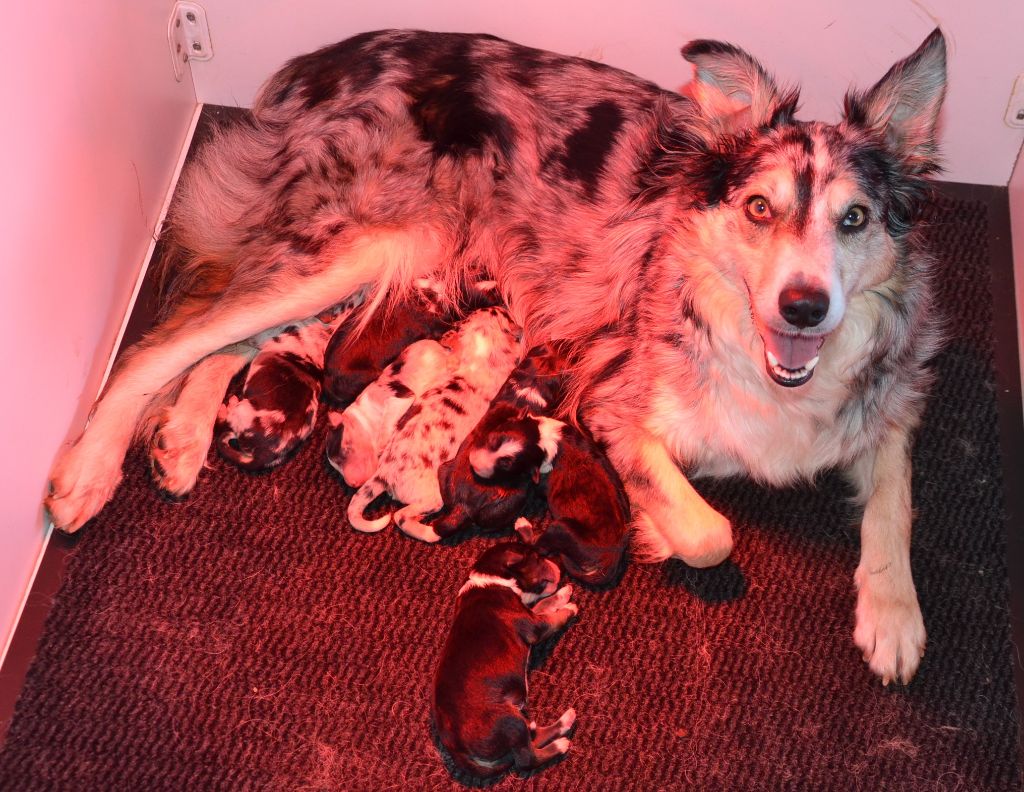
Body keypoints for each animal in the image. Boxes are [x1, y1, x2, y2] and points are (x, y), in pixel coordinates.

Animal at [325, 338, 454, 487]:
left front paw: (382, 443)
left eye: (343, 453)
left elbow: (388, 417)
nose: (353, 484)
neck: (365, 419)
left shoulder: (400, 397)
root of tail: (440, 346)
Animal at [348, 305, 524, 540]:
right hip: (432, 497)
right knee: (400, 517)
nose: (500, 305)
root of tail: (383, 474)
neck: (480, 353)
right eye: (504, 314)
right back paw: (429, 532)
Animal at [430, 342, 569, 540]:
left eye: (541, 349)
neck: (531, 384)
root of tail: (461, 507)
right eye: (562, 368)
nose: (558, 344)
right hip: (513, 500)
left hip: (444, 469)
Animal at [430, 536, 577, 778]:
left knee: (532, 739)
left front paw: (562, 594)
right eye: (536, 557)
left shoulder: (529, 612)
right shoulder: (535, 625)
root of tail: (455, 748)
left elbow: (543, 604)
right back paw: (561, 742)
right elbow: (554, 617)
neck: (493, 579)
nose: (560, 565)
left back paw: (565, 722)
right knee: (527, 758)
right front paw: (570, 607)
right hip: (510, 721)